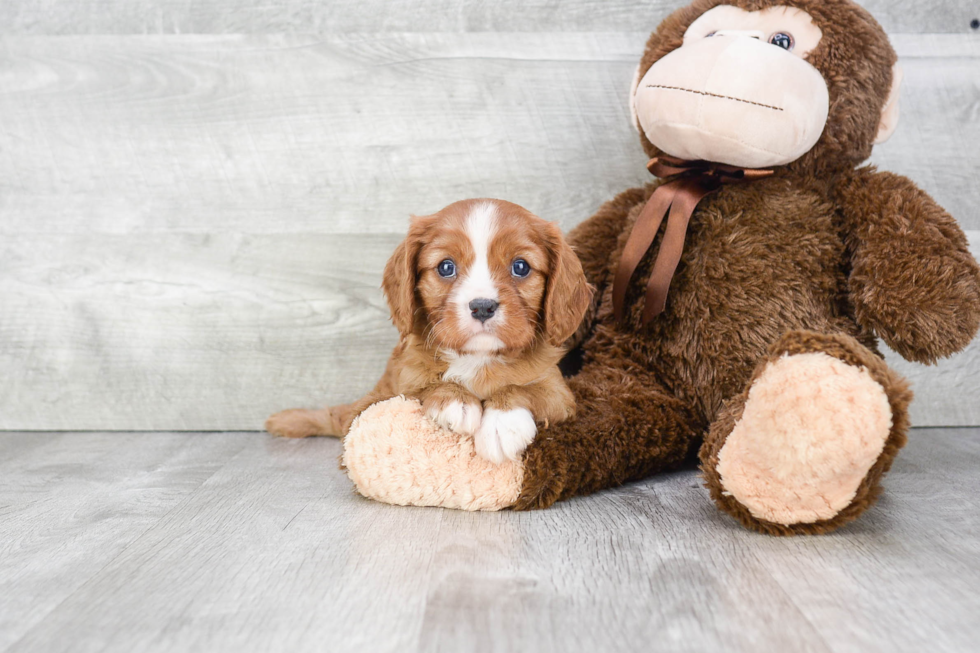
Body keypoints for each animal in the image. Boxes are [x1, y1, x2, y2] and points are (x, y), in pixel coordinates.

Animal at [264, 199, 592, 464]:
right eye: (446, 267)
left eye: (520, 267)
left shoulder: (561, 394)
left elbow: (526, 389)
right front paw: (456, 400)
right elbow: (419, 389)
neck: (478, 358)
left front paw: (501, 422)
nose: (482, 306)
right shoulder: (383, 395)